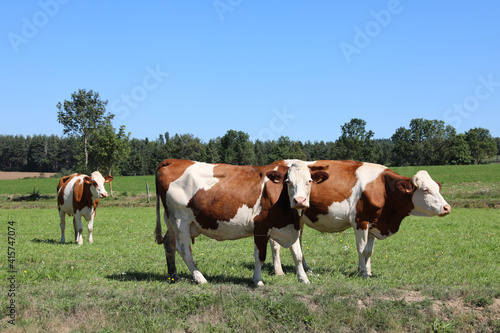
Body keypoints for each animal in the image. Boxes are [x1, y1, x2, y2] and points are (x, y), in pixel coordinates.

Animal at [154, 158, 330, 286]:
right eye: (288, 182)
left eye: (309, 181)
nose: (299, 201)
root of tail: (174, 161)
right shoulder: (260, 227)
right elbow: (260, 256)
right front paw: (258, 281)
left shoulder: (291, 226)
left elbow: (298, 255)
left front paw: (304, 279)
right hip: (180, 220)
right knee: (184, 249)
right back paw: (200, 278)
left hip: (173, 221)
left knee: (170, 243)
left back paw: (174, 276)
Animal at [272, 160, 452, 276]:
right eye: (426, 190)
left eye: (437, 188)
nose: (447, 207)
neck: (382, 187)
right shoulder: (360, 221)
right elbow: (362, 249)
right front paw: (363, 273)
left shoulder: (374, 224)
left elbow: (369, 251)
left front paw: (368, 271)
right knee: (275, 245)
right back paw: (279, 271)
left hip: (299, 220)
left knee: (298, 242)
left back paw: (306, 268)